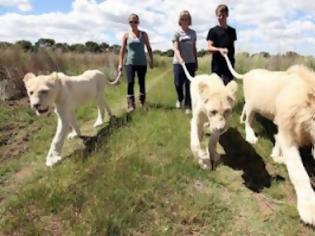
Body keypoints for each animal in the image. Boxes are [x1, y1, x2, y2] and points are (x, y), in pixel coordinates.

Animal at [223, 53, 315, 225]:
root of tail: (249, 73)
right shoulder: (288, 131)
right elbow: (299, 172)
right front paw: (309, 208)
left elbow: (278, 141)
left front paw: (276, 155)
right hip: (253, 104)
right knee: (249, 120)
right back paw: (250, 136)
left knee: (245, 112)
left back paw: (241, 119)